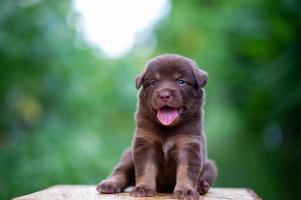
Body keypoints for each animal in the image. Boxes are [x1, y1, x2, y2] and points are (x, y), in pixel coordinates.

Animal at [97, 54, 217, 199]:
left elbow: (186, 171)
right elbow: (146, 168)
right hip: (128, 155)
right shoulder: (145, 142)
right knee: (120, 171)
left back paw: (201, 186)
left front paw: (185, 191)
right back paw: (109, 184)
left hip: (210, 165)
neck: (167, 128)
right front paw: (143, 188)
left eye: (181, 81)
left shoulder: (188, 145)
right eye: (154, 82)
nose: (164, 95)